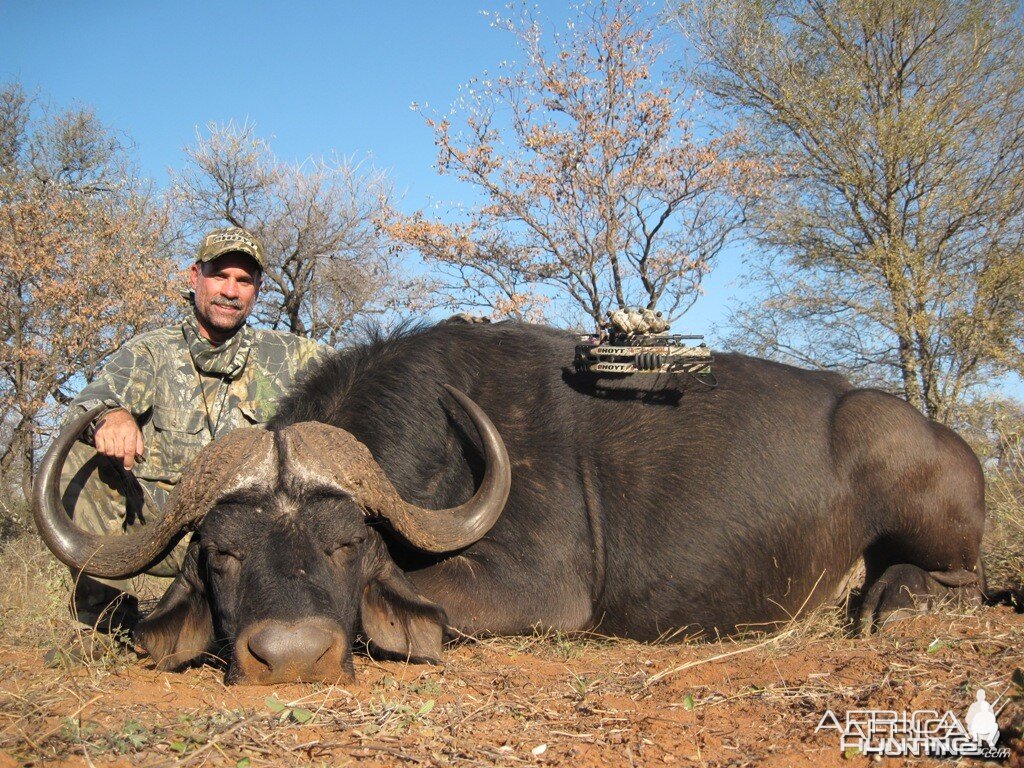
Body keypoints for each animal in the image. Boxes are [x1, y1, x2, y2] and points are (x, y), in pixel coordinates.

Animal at [36, 319, 987, 684]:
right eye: (223, 554)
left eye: (348, 545)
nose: (295, 657)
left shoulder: (534, 587)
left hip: (933, 524)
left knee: (956, 581)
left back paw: (889, 603)